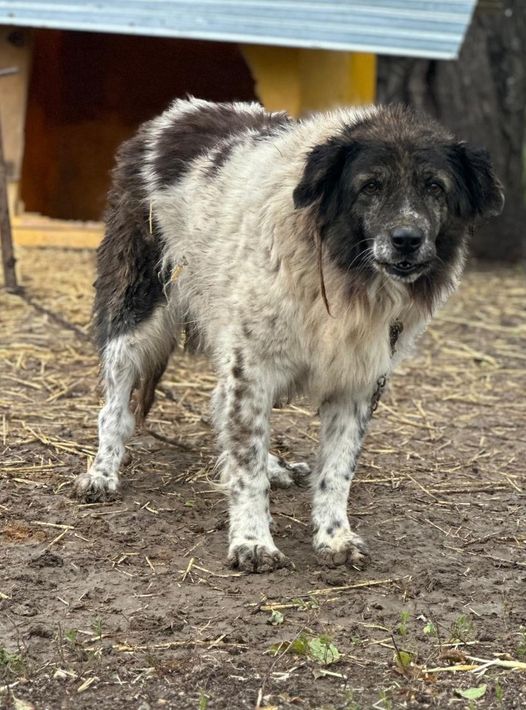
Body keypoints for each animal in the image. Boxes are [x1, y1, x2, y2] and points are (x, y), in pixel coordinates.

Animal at [73, 98, 503, 573]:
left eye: (435, 187)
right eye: (370, 186)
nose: (406, 239)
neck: (341, 270)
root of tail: (174, 114)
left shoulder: (356, 380)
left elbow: (336, 471)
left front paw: (334, 537)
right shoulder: (252, 366)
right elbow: (247, 468)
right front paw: (252, 541)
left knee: (219, 405)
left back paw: (273, 468)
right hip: (138, 312)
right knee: (115, 408)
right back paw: (102, 473)